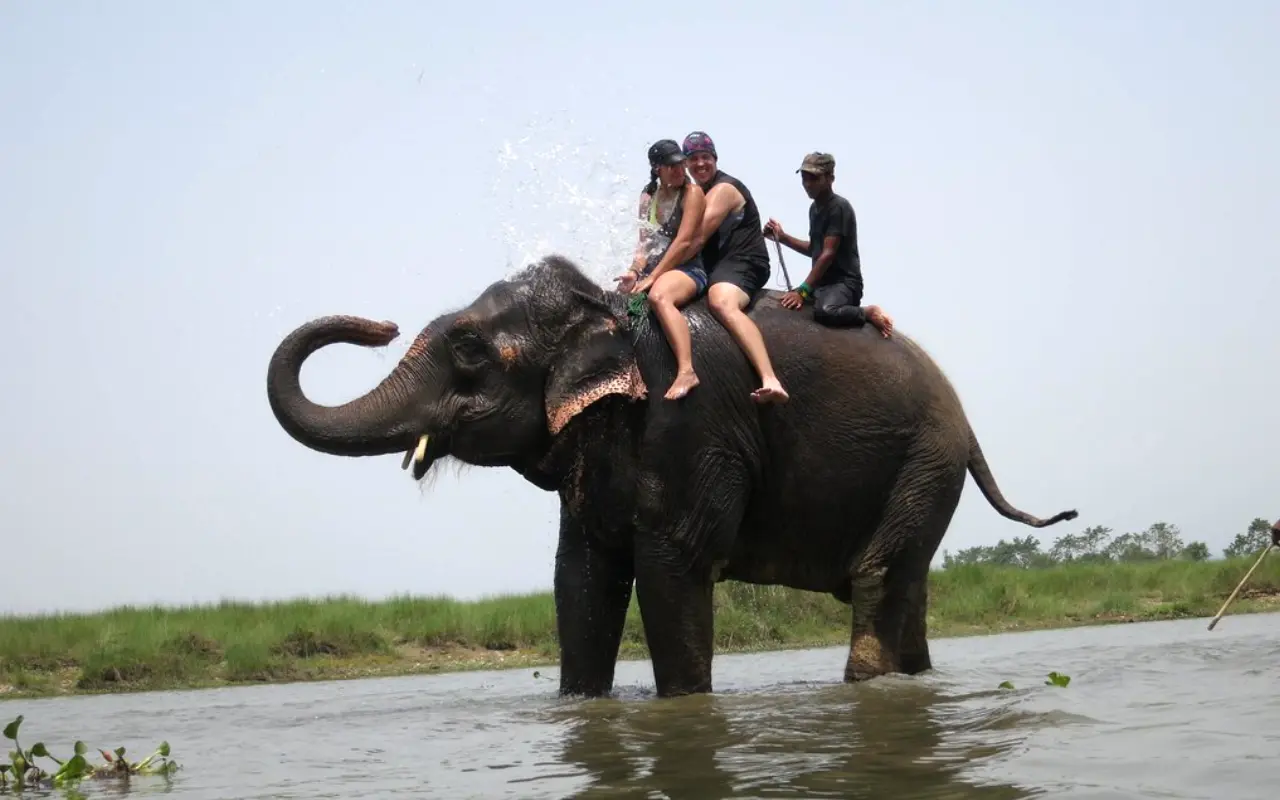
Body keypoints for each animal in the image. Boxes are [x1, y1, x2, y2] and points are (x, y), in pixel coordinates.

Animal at [265, 254, 1077, 698]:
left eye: (467, 350)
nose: (379, 325)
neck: (606, 311)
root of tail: (966, 424)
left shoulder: (690, 426)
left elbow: (672, 568)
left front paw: (684, 707)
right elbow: (581, 578)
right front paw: (580, 707)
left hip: (926, 460)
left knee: (880, 578)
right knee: (907, 584)